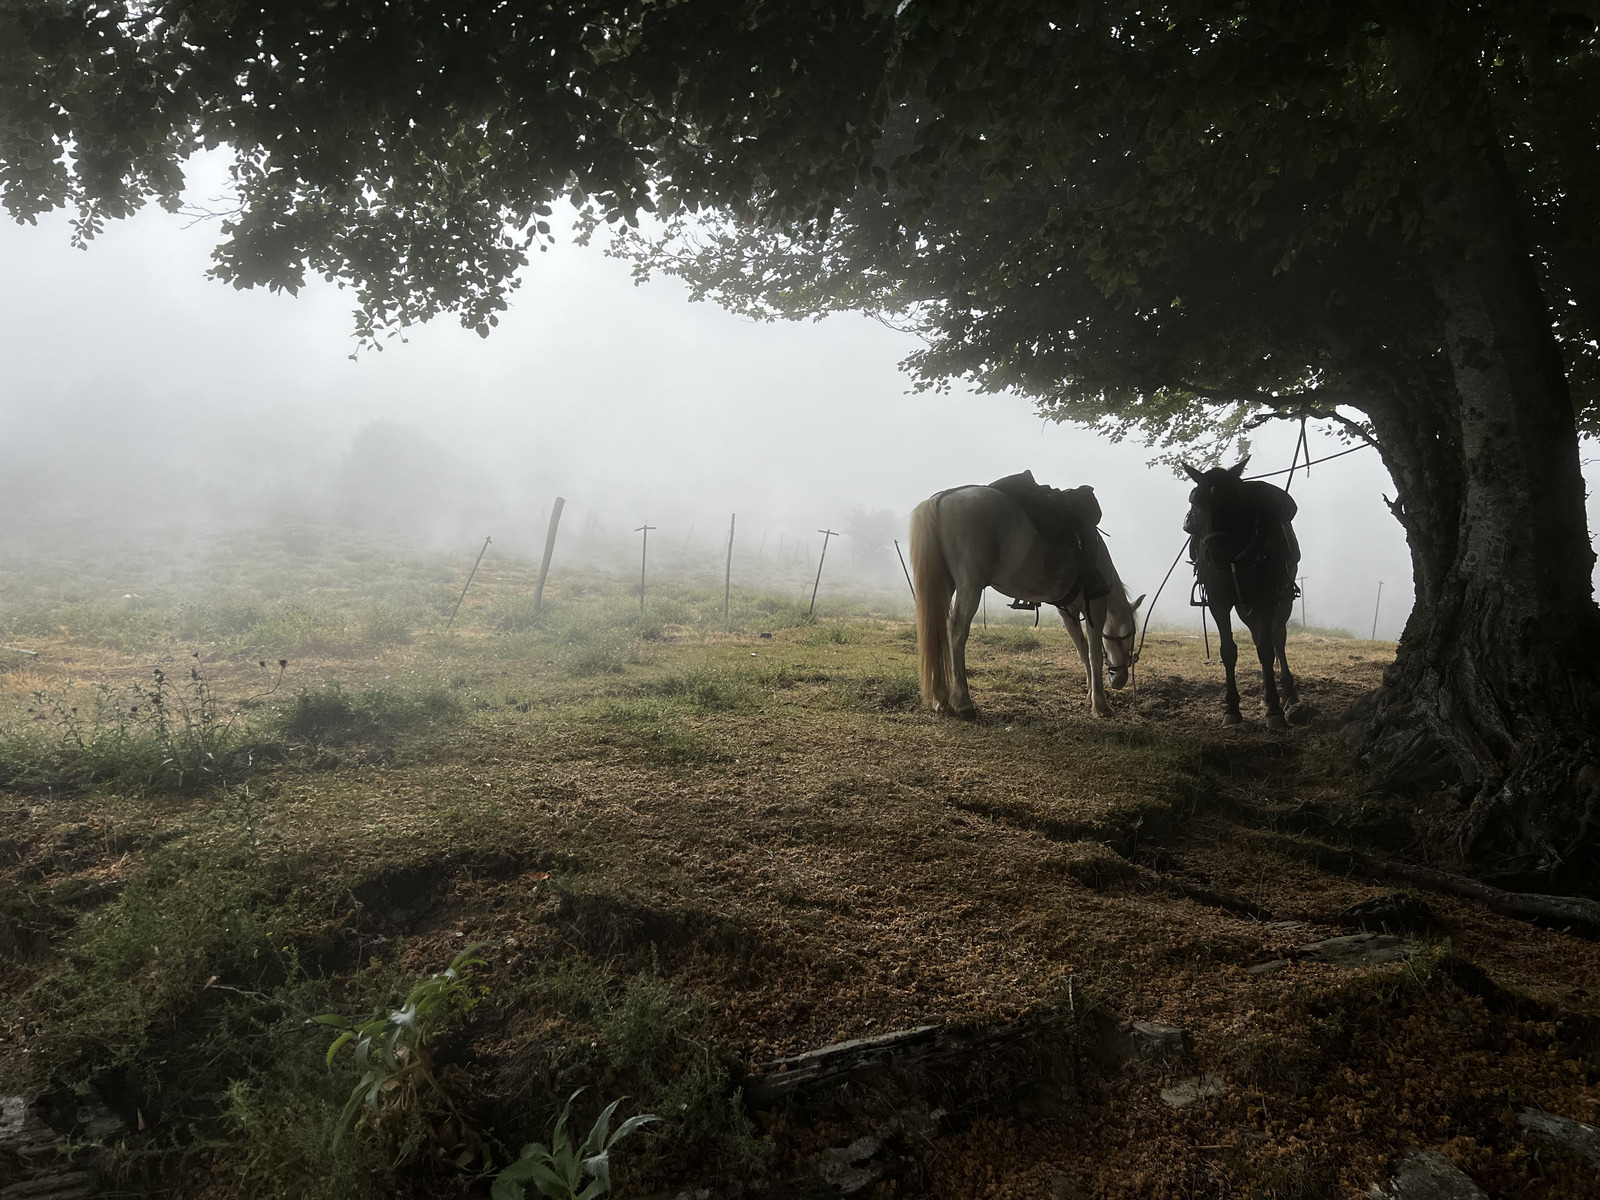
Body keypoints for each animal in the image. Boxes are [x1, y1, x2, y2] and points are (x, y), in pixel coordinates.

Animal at [908, 476, 1145, 720]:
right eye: (1132, 633)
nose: (1120, 679)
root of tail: (942, 498)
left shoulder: (1068, 612)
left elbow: (1082, 650)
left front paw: (1090, 696)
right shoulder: (1095, 605)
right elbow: (1094, 653)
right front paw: (1101, 705)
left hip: (946, 585)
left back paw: (941, 700)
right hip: (970, 586)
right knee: (956, 631)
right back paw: (963, 702)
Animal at [1184, 457, 1305, 729]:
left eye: (1235, 501)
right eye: (1196, 502)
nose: (1215, 554)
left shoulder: (1267, 599)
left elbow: (1267, 649)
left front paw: (1274, 711)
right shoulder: (1219, 603)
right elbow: (1228, 651)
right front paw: (1232, 709)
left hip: (1282, 600)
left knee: (1276, 638)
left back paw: (1288, 696)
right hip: (1244, 607)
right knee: (1258, 635)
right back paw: (1266, 694)